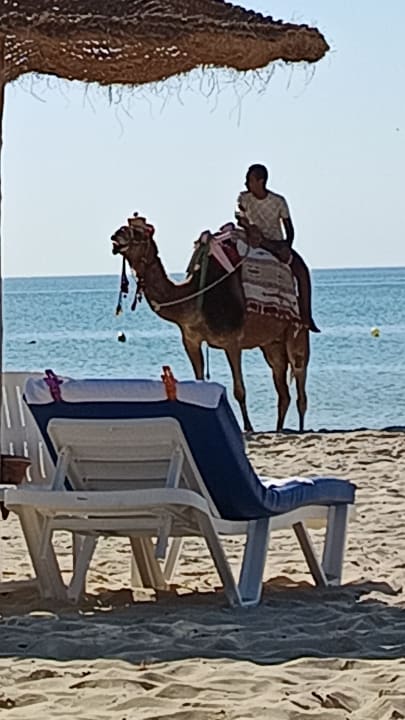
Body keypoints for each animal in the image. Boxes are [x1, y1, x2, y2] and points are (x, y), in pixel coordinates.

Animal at [111, 217, 310, 432]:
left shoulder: (232, 341)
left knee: (299, 380)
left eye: (138, 233)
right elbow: (198, 380)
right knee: (283, 390)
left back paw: (300, 429)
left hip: (297, 331)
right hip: (271, 343)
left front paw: (248, 427)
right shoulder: (191, 340)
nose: (116, 234)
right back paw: (279, 429)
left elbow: (239, 390)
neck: (195, 297)